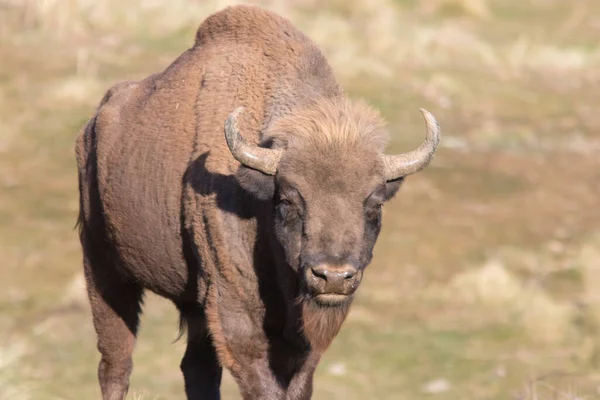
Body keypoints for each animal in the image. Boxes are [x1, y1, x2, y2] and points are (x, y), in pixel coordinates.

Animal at [74, 3, 440, 400]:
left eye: (374, 204)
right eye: (289, 200)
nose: (333, 275)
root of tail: (93, 124)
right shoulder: (233, 305)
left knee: (196, 368)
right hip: (103, 269)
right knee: (116, 362)